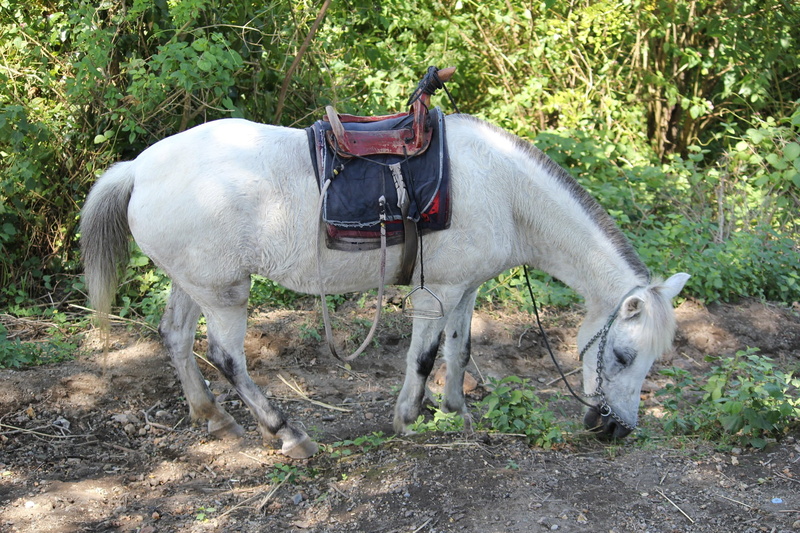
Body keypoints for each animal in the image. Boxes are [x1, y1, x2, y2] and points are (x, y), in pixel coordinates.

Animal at [80, 114, 689, 459]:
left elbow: (460, 350)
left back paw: (211, 415)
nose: (615, 431)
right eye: (623, 354)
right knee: (228, 357)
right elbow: (423, 356)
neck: (505, 192)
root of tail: (139, 168)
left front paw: (457, 413)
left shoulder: (464, 289)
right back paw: (289, 434)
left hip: (194, 284)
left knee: (176, 337)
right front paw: (409, 420)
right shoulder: (435, 293)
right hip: (227, 293)